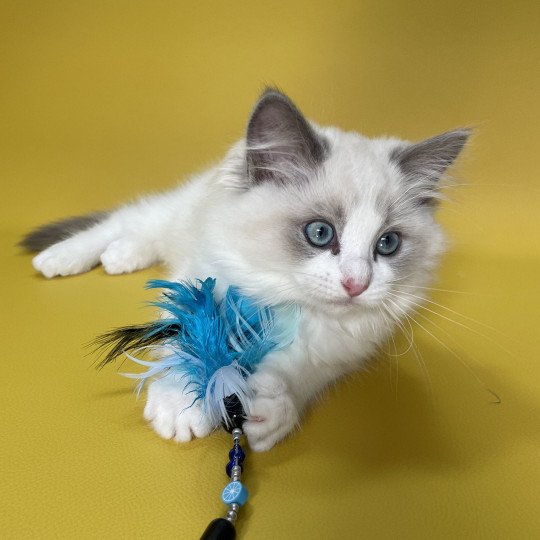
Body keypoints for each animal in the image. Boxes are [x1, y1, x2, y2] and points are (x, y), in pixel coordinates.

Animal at [22, 89, 468, 452]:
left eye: (387, 244)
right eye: (320, 233)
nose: (356, 284)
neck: (285, 297)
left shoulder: (341, 350)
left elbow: (300, 371)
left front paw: (269, 410)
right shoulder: (199, 281)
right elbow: (183, 334)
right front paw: (181, 404)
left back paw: (121, 256)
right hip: (172, 213)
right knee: (128, 220)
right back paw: (62, 258)